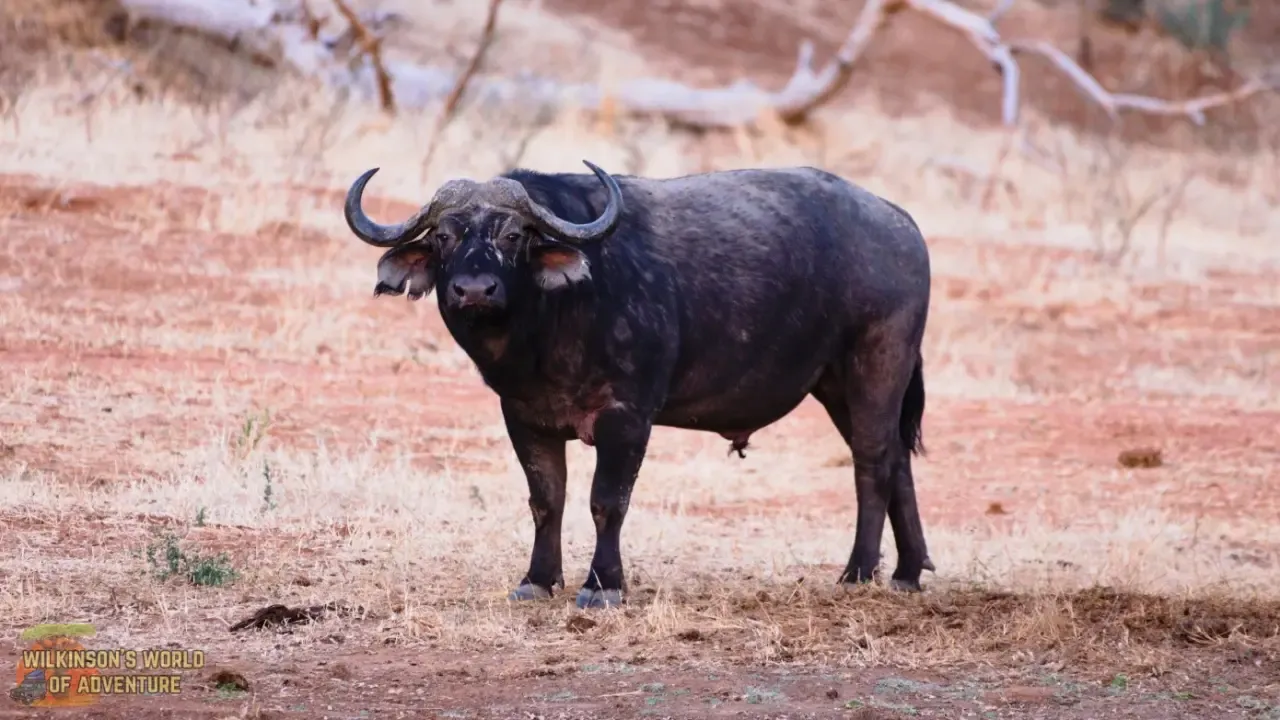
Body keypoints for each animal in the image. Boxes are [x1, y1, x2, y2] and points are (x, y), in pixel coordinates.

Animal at [343, 160, 935, 609]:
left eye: (512, 235)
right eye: (444, 237)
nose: (473, 290)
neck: (551, 325)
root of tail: (902, 224)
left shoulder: (627, 417)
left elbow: (607, 501)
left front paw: (602, 586)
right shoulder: (525, 416)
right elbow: (546, 500)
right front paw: (537, 580)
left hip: (877, 361)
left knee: (872, 462)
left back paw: (858, 573)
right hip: (836, 383)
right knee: (897, 460)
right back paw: (907, 571)